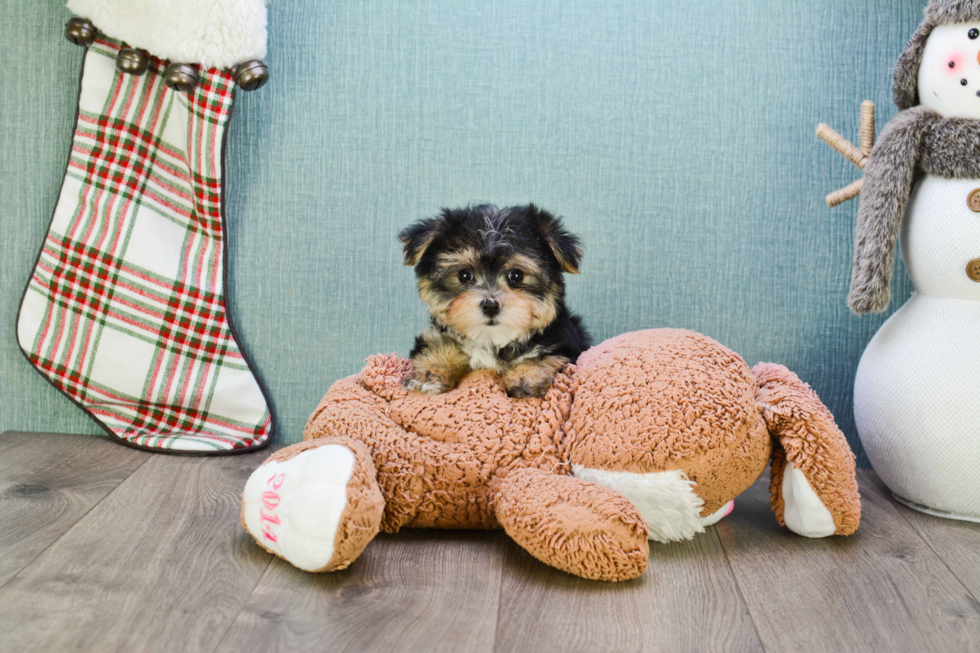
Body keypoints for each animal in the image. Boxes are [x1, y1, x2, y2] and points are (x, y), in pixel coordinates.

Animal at [398, 204, 588, 398]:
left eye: (516, 275)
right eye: (464, 275)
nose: (490, 306)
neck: (490, 341)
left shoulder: (563, 343)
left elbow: (542, 355)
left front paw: (526, 375)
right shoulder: (439, 334)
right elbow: (441, 344)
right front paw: (429, 374)